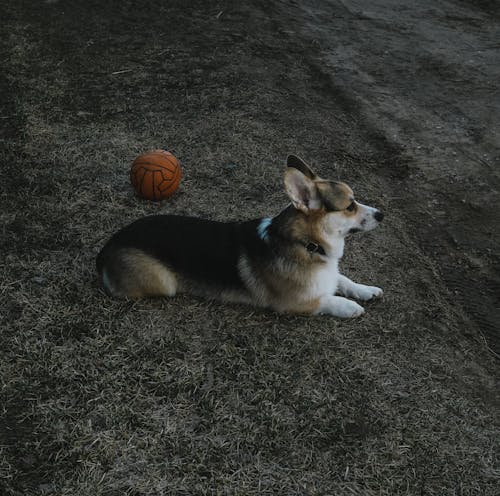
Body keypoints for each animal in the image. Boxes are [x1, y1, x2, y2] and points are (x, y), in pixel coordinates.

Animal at [96, 155, 382, 318]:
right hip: (165, 283)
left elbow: (344, 280)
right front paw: (350, 307)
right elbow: (328, 300)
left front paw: (368, 290)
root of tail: (106, 249)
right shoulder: (295, 302)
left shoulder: (331, 273)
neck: (307, 244)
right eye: (350, 206)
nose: (381, 214)